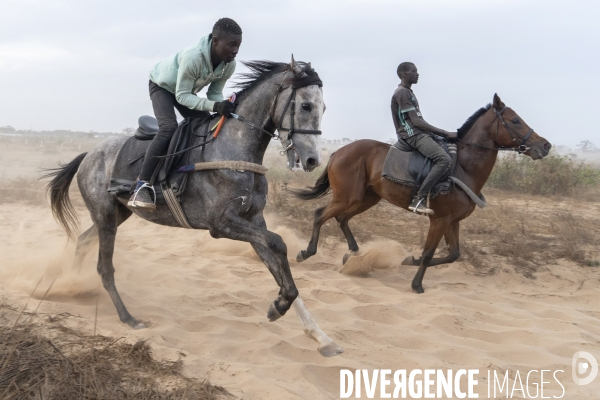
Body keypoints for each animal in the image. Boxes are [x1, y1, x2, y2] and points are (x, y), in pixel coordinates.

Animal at [45, 57, 344, 356]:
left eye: (323, 108)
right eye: (306, 105)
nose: (312, 160)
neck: (233, 149)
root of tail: (89, 154)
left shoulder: (253, 221)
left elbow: (278, 265)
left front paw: (319, 335)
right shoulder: (221, 224)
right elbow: (279, 244)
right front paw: (279, 306)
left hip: (118, 213)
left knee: (83, 240)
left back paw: (70, 283)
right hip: (106, 214)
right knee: (104, 267)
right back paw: (128, 317)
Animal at [292, 95, 552, 292]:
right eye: (515, 121)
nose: (546, 145)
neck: (463, 166)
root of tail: (338, 152)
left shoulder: (453, 221)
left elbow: (453, 254)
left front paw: (410, 260)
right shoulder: (439, 220)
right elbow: (429, 253)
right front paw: (417, 284)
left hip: (366, 198)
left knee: (341, 218)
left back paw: (354, 254)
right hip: (348, 197)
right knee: (320, 214)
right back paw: (307, 252)